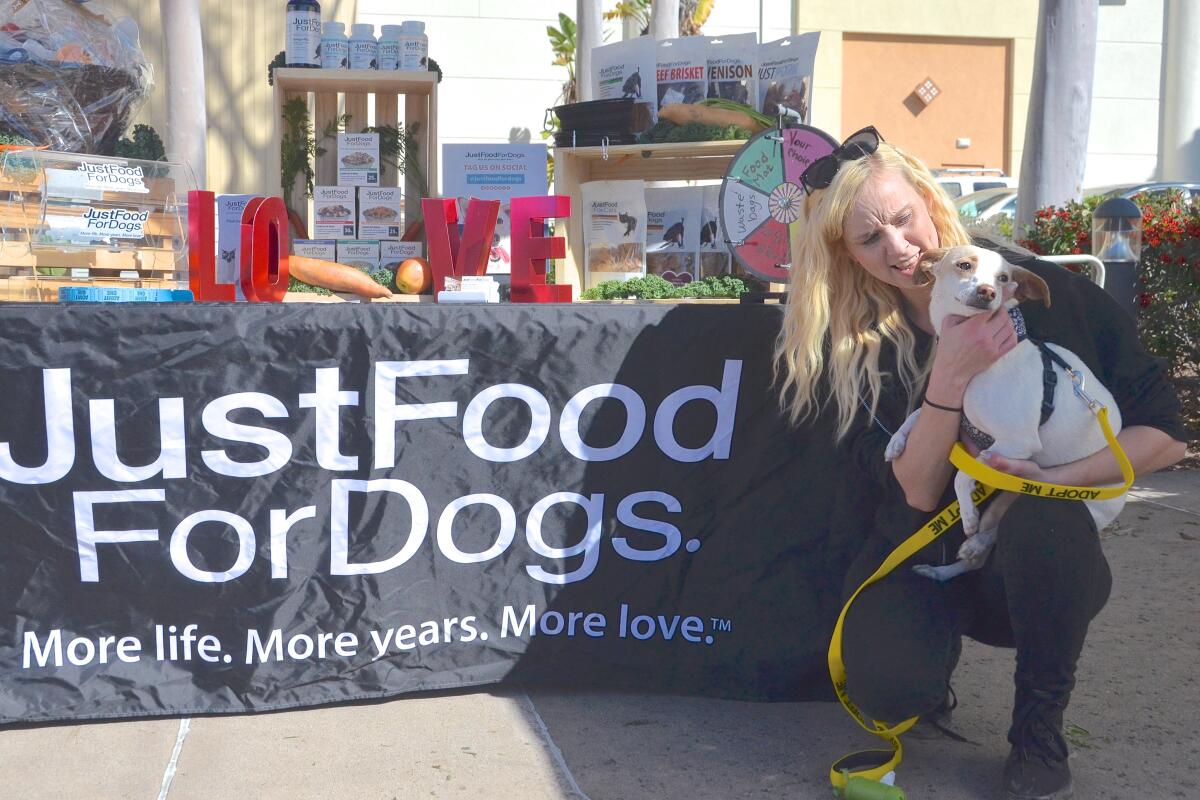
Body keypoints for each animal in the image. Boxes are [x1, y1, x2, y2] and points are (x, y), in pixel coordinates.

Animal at [883, 244, 1123, 582]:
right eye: (964, 265)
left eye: (1004, 278)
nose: (987, 291)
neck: (984, 364)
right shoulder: (958, 409)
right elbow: (916, 415)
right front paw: (896, 441)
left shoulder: (1016, 443)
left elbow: (962, 474)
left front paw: (967, 514)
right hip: (1004, 501)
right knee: (979, 556)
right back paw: (944, 569)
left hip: (1068, 498)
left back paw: (975, 541)